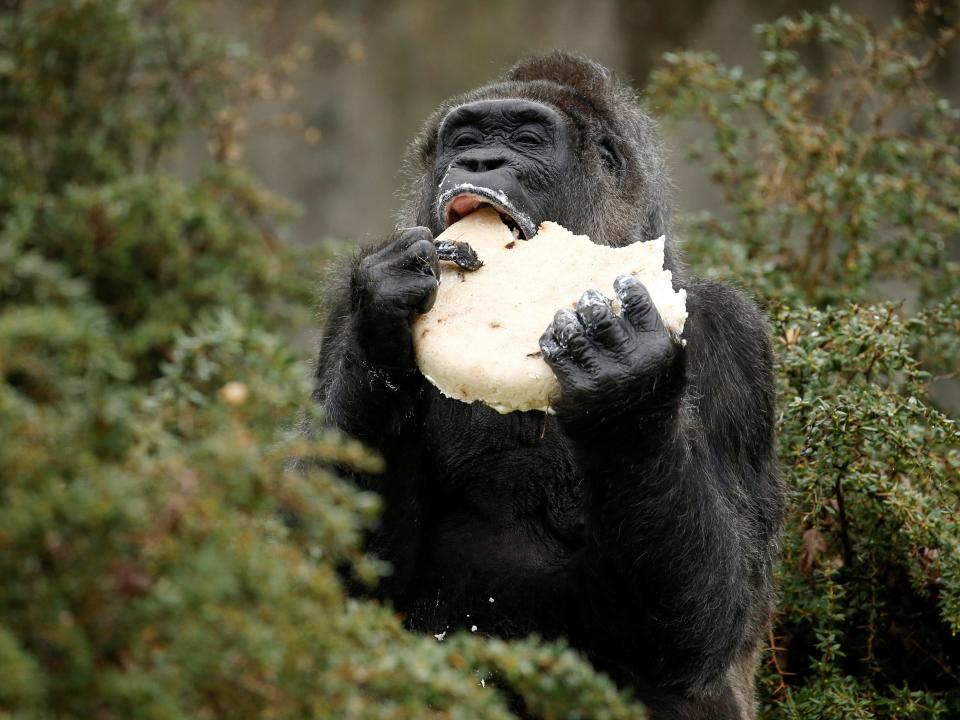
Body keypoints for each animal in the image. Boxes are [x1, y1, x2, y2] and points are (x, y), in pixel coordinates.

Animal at [312, 54, 784, 720]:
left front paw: (626, 388)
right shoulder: (339, 316)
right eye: (465, 139)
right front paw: (385, 315)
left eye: (526, 139)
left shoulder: (734, 341)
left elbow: (705, 628)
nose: (480, 163)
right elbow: (340, 578)